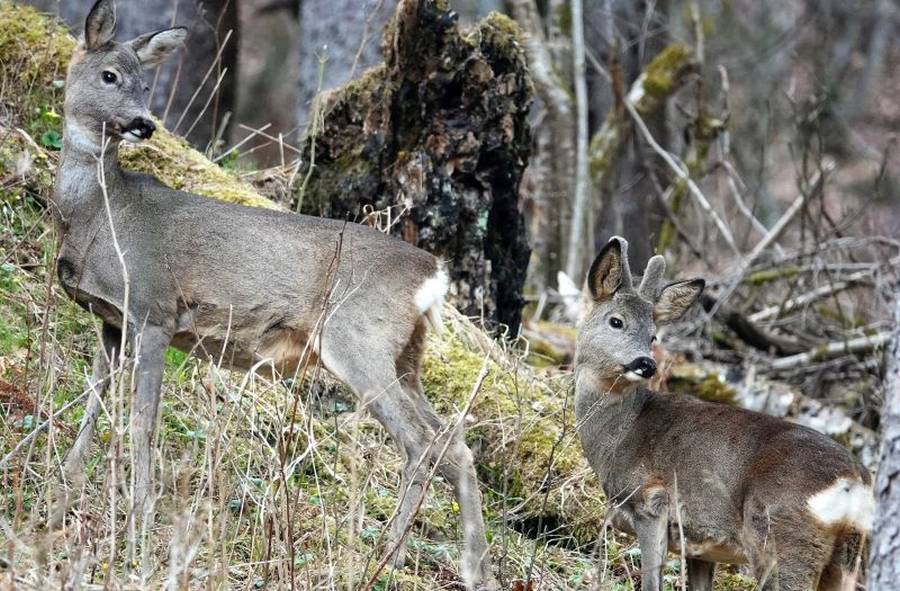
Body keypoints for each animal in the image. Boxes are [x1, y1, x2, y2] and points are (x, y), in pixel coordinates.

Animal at [52, 1, 496, 588]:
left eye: (144, 81)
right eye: (110, 76)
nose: (145, 123)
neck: (98, 218)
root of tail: (433, 274)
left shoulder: (154, 309)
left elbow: (142, 422)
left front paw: (138, 527)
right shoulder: (110, 320)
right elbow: (93, 407)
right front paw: (62, 497)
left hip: (358, 341)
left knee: (423, 444)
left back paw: (385, 558)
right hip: (406, 357)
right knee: (456, 444)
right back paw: (473, 566)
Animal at [572, 237, 876, 591]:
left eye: (653, 335)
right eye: (616, 321)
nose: (645, 364)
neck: (617, 437)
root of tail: (853, 480)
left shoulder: (650, 501)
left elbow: (651, 583)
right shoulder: (700, 546)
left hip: (780, 537)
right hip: (850, 555)